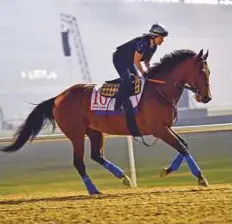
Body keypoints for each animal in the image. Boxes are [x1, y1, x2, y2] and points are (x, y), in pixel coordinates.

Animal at [0, 48, 212, 194]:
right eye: (202, 72)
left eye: (208, 72)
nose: (206, 98)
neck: (159, 90)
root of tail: (58, 97)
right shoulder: (158, 129)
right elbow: (181, 147)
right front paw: (201, 177)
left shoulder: (165, 127)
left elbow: (184, 145)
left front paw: (166, 171)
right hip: (76, 134)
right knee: (79, 162)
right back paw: (93, 190)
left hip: (94, 131)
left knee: (96, 155)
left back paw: (123, 177)